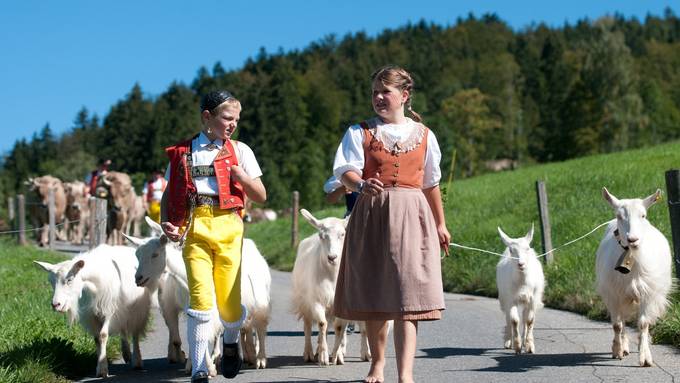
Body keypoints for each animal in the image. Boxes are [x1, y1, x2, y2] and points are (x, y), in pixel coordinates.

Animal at [34, 246, 153, 378]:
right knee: (123, 328)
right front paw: (100, 367)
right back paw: (126, 354)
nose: (56, 305)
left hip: (137, 310)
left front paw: (103, 370)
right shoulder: (92, 315)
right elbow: (97, 338)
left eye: (70, 280)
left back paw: (137, 361)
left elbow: (103, 335)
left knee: (135, 333)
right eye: (51, 282)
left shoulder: (109, 312)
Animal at [290, 208, 370, 368]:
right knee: (308, 326)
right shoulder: (316, 301)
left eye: (343, 234)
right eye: (322, 236)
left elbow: (339, 327)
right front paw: (323, 357)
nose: (332, 257)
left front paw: (337, 356)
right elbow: (322, 324)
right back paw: (309, 353)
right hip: (304, 302)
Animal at [496, 226, 544, 356]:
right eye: (511, 250)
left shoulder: (533, 299)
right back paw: (508, 341)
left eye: (527, 248)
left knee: (525, 317)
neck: (522, 283)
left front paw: (529, 346)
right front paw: (517, 347)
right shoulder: (510, 299)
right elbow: (514, 320)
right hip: (503, 298)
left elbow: (529, 320)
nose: (521, 264)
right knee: (508, 317)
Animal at [596, 188, 672, 368]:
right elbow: (617, 325)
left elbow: (643, 323)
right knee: (622, 321)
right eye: (619, 215)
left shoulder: (648, 293)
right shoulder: (614, 294)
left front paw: (645, 358)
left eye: (643, 215)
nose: (633, 239)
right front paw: (617, 350)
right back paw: (623, 346)